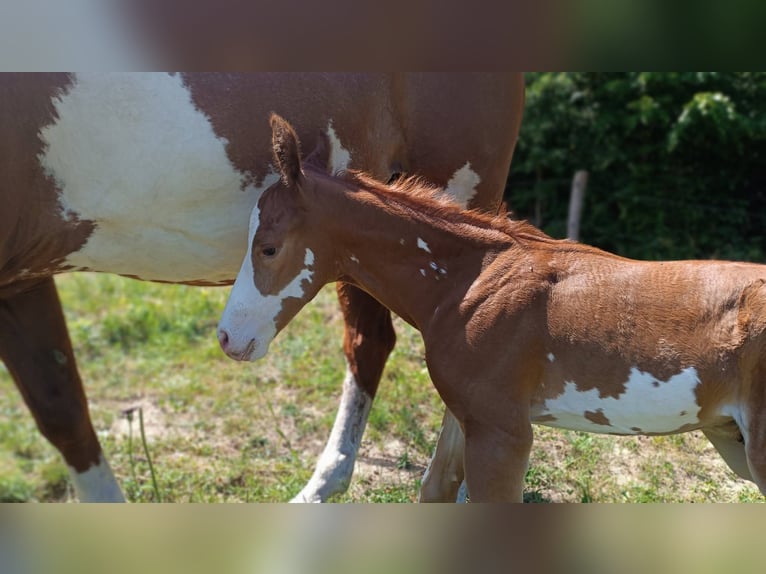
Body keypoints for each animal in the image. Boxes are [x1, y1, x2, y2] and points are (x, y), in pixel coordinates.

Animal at [0, 73, 525, 502]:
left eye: (269, 249)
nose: (229, 338)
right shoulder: (19, 282)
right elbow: (60, 411)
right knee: (370, 342)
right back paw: (327, 483)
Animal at [218, 114, 766, 502]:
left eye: (268, 247)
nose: (227, 337)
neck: (472, 284)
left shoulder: (504, 434)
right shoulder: (470, 420)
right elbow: (435, 491)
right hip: (731, 440)